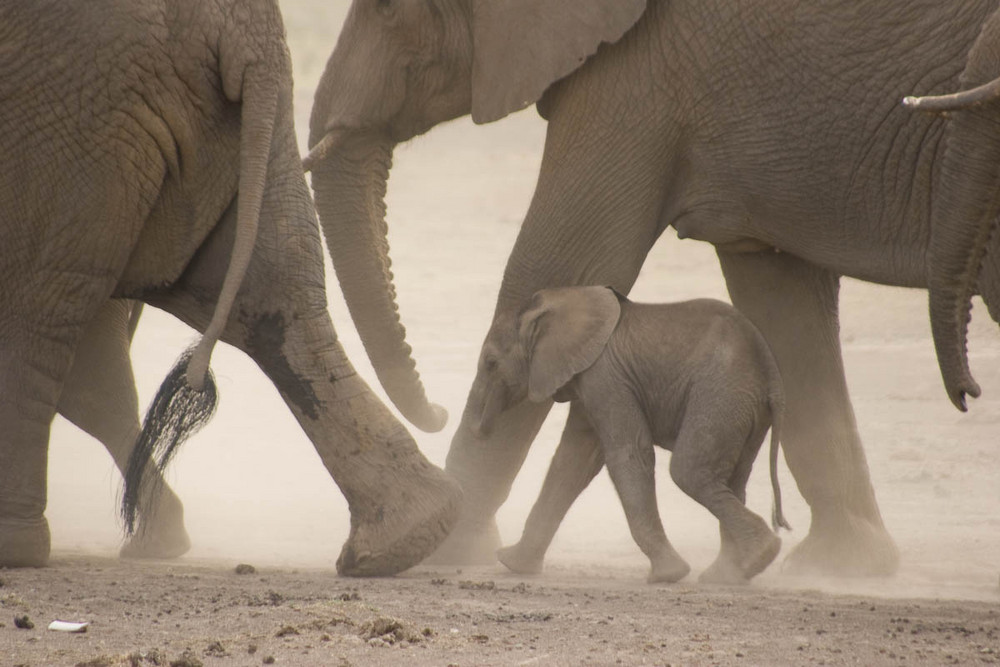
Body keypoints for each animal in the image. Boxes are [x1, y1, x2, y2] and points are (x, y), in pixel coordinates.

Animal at [0, 0, 460, 576]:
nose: (441, 413)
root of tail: (243, 29)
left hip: (73, 112)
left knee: (34, 304)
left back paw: (17, 549)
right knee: (275, 291)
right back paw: (406, 538)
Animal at [468, 288, 788, 584]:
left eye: (491, 362)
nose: (481, 430)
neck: (563, 298)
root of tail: (771, 372)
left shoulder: (605, 375)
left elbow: (629, 453)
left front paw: (668, 575)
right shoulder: (589, 380)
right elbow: (573, 461)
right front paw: (512, 563)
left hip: (721, 396)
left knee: (689, 473)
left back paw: (759, 555)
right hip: (743, 409)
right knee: (733, 480)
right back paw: (729, 574)